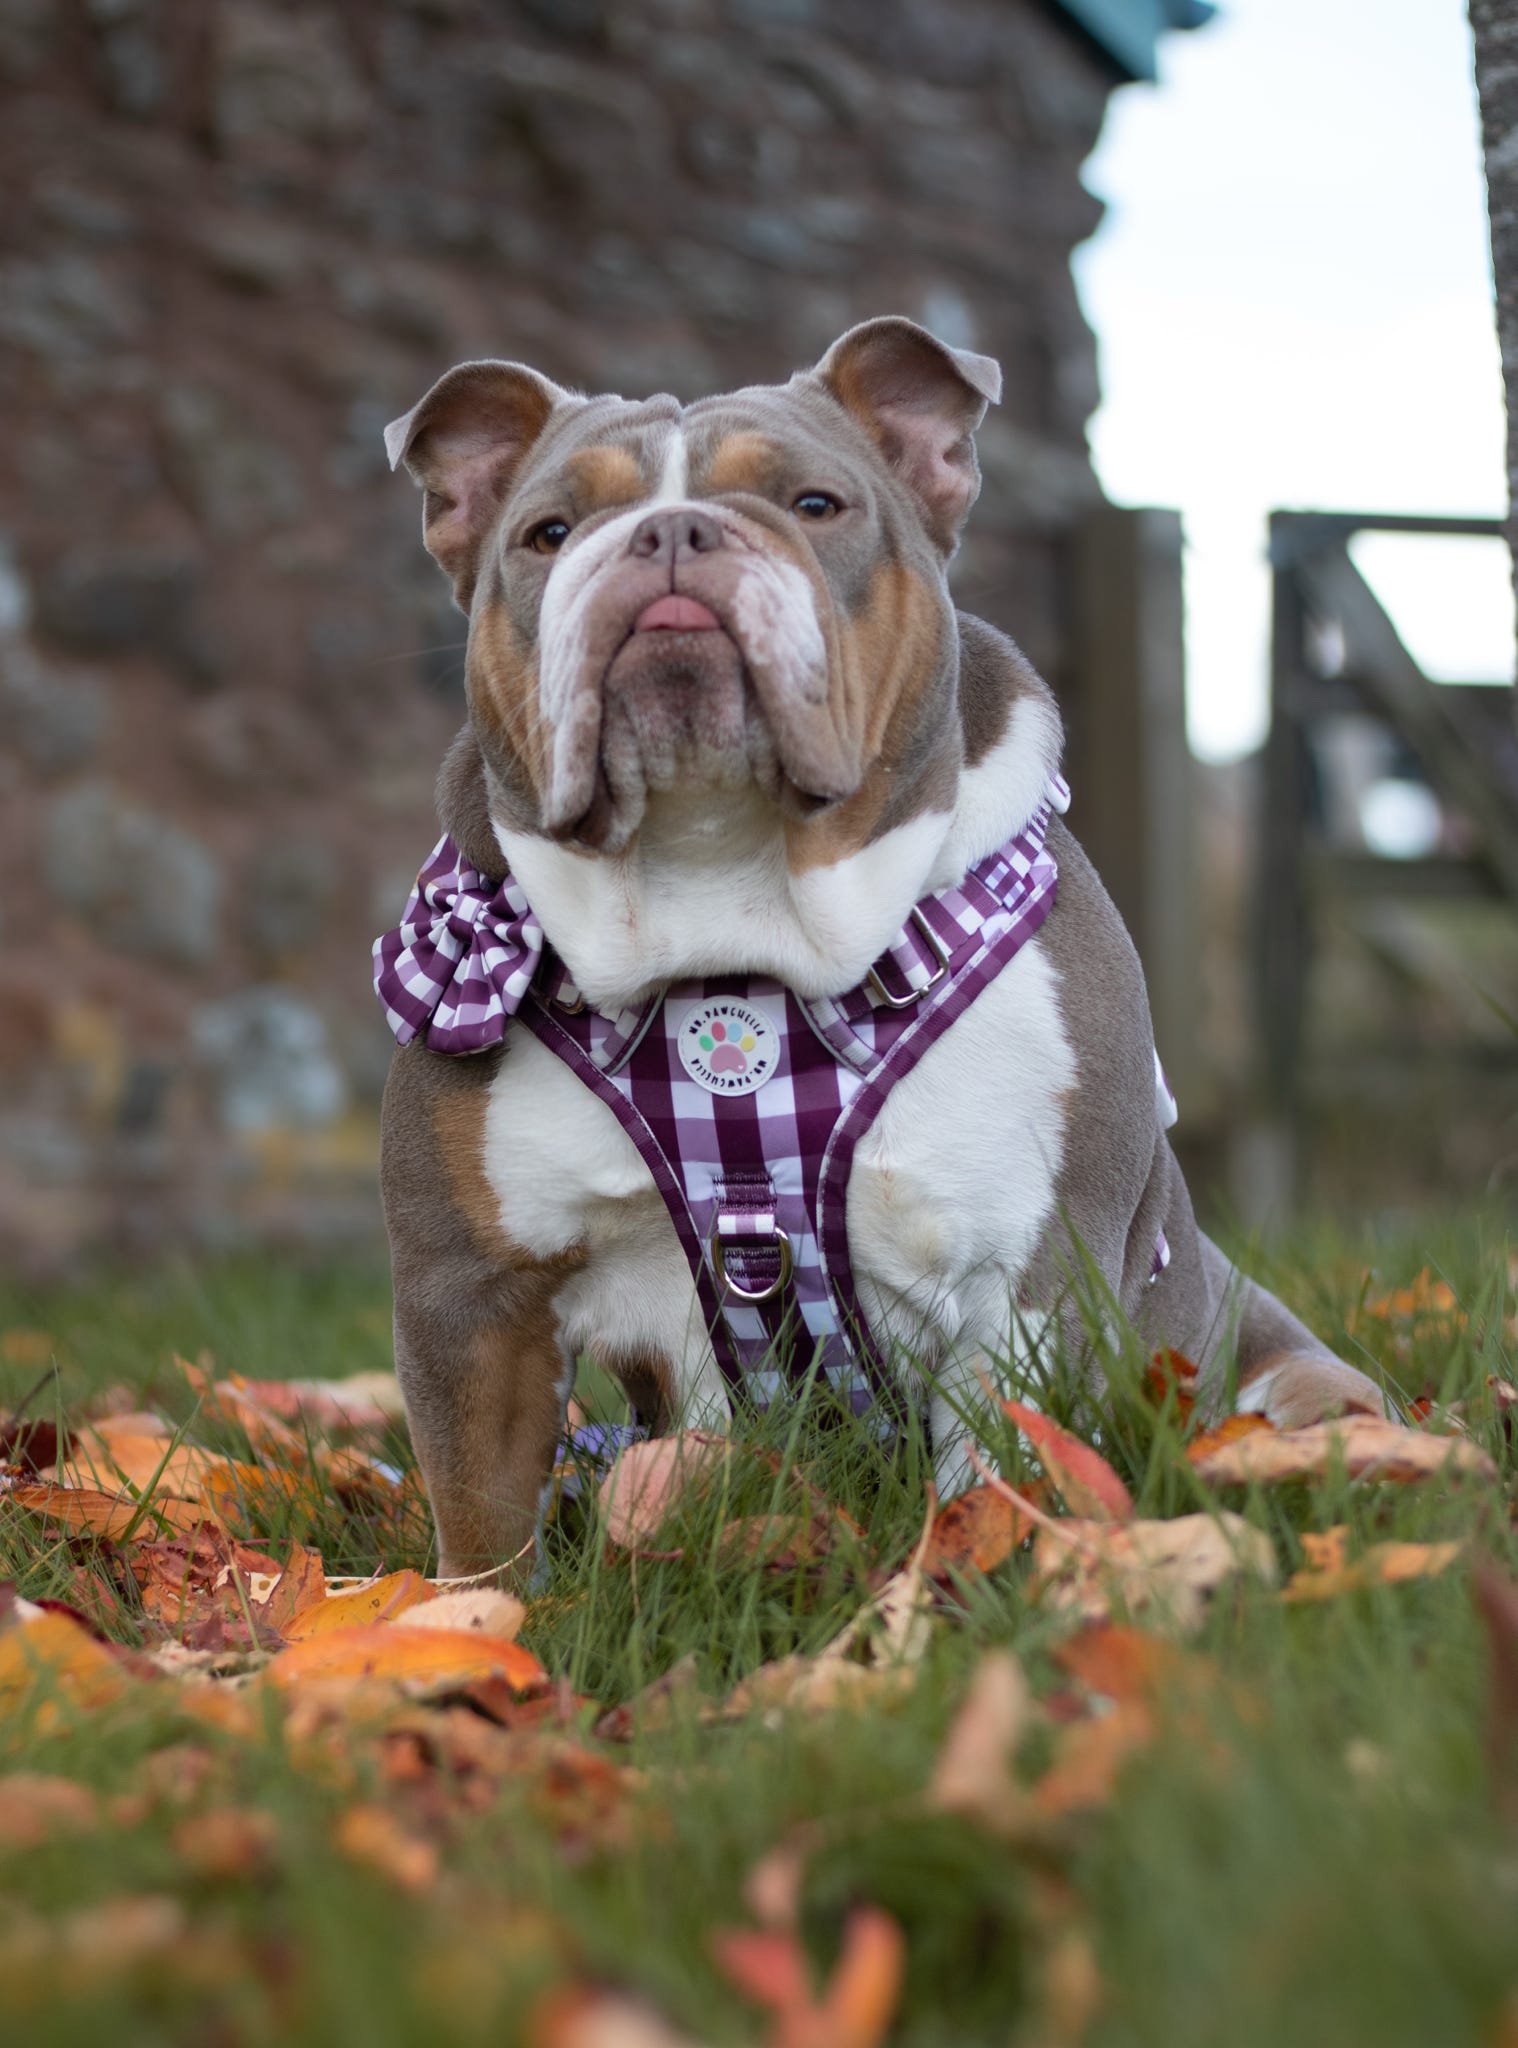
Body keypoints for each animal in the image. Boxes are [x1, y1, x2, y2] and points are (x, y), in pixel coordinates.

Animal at [374, 317, 1388, 1579]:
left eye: (814, 504)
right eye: (548, 532)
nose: (669, 532)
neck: (725, 899)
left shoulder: (1031, 1283)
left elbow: (1006, 1478)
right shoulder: (469, 1300)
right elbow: (484, 1522)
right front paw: (480, 1613)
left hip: (1297, 1377)